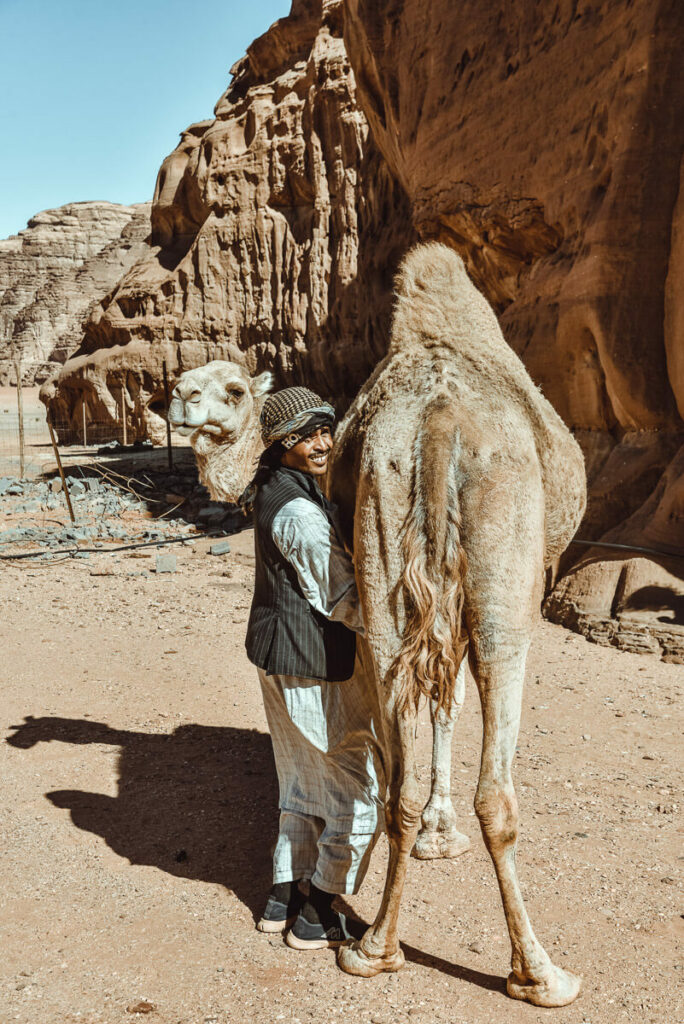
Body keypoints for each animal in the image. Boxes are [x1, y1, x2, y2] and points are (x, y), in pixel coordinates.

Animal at [166, 241, 589, 1007]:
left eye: (233, 389)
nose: (178, 397)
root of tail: (442, 420)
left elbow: (436, 708)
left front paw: (434, 831)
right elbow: (449, 705)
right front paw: (443, 832)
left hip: (384, 533)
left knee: (396, 784)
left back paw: (373, 947)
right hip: (502, 576)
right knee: (497, 784)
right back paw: (540, 973)